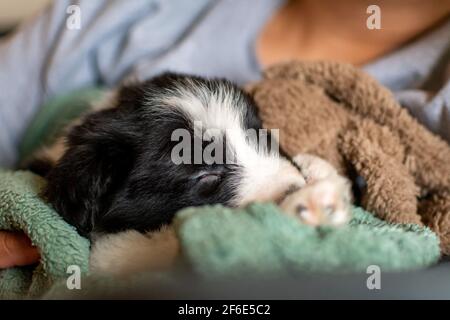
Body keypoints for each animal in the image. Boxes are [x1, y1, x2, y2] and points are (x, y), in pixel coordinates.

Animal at [27, 74, 352, 276]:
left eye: (263, 138)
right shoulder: (114, 256)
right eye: (206, 176)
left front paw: (317, 172)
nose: (294, 186)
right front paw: (307, 205)